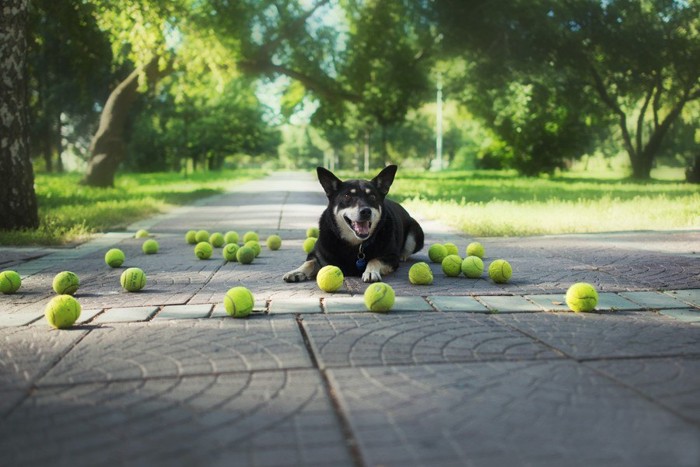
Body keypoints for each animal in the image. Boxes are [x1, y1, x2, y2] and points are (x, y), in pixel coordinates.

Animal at [282, 166, 424, 284]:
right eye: (347, 196)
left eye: (372, 196)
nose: (366, 211)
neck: (355, 244)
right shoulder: (316, 253)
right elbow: (309, 262)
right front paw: (296, 271)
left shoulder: (391, 257)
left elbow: (375, 259)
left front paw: (370, 272)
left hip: (415, 233)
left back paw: (403, 255)